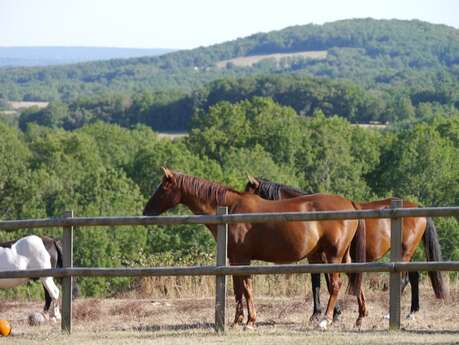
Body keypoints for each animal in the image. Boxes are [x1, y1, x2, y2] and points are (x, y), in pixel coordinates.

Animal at [144, 168, 366, 330]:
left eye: (163, 188)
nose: (146, 211)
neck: (230, 210)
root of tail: (350, 203)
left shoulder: (242, 259)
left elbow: (247, 289)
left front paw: (250, 322)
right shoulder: (235, 260)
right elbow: (238, 290)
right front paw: (238, 320)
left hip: (332, 256)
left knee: (335, 285)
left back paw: (326, 320)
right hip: (342, 256)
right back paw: (359, 317)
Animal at [246, 176, 448, 318]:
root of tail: (417, 207)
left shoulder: (326, 257)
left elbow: (326, 282)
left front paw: (331, 313)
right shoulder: (317, 257)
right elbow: (318, 281)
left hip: (404, 253)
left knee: (404, 279)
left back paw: (390, 313)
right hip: (407, 253)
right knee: (414, 276)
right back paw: (412, 312)